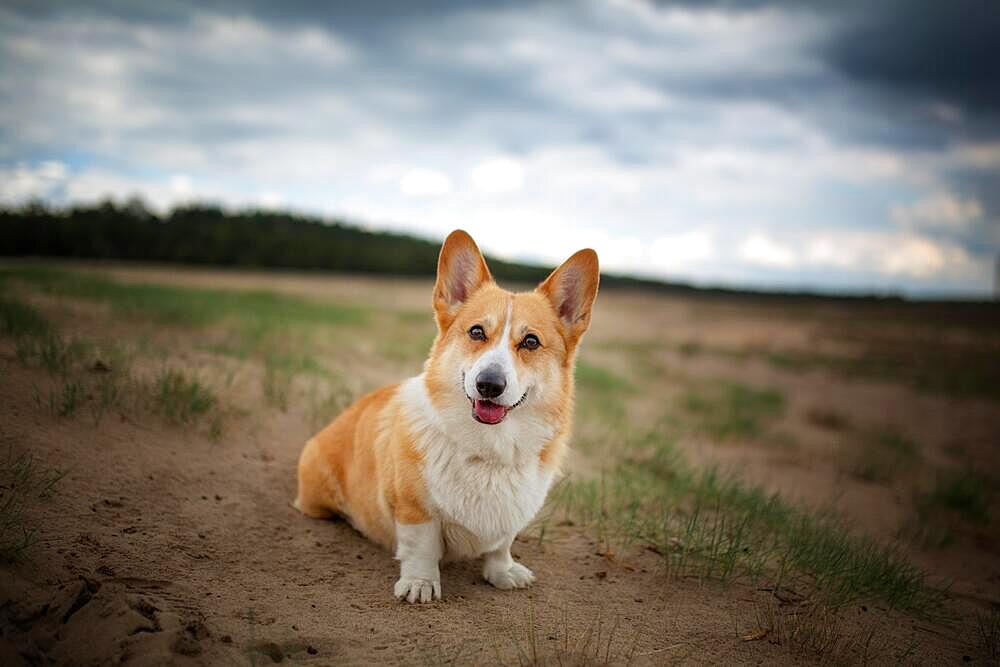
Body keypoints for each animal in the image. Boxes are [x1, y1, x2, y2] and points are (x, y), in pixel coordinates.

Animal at [292, 231, 596, 604]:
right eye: (477, 332)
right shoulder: (415, 510)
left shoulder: (510, 517)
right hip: (316, 495)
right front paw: (420, 584)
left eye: (530, 341)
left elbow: (501, 545)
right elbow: (421, 547)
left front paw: (503, 572)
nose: (489, 384)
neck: (489, 450)